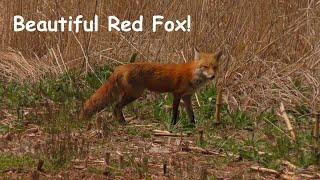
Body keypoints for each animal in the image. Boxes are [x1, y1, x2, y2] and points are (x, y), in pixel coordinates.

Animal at [80, 48, 222, 124]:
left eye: (215, 67)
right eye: (205, 66)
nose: (213, 76)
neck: (192, 74)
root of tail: (121, 67)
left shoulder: (187, 96)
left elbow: (191, 114)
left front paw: (193, 126)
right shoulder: (176, 94)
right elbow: (175, 112)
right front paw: (173, 125)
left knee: (116, 107)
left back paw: (121, 122)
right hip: (134, 94)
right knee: (116, 106)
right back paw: (122, 123)